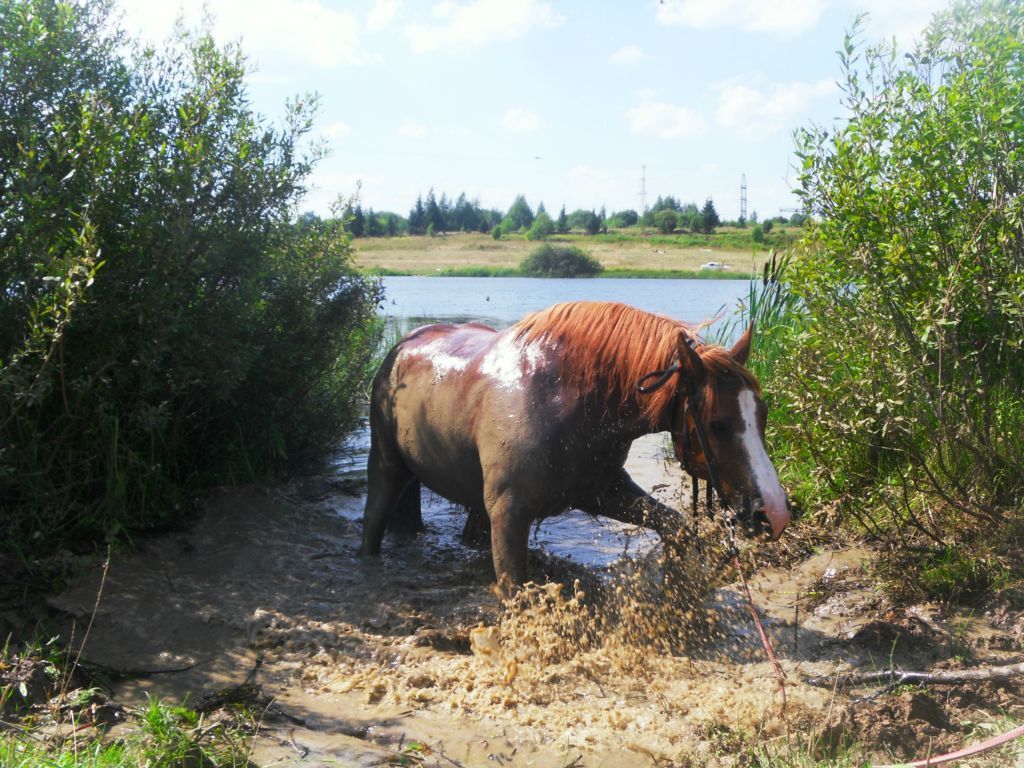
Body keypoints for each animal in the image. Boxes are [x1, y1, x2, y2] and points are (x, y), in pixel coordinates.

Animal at [360, 303, 790, 593]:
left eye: (763, 413)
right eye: (718, 424)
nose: (774, 513)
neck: (567, 399)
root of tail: (402, 347)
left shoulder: (603, 492)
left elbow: (674, 525)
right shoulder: (509, 515)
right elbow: (516, 592)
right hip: (386, 466)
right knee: (372, 523)